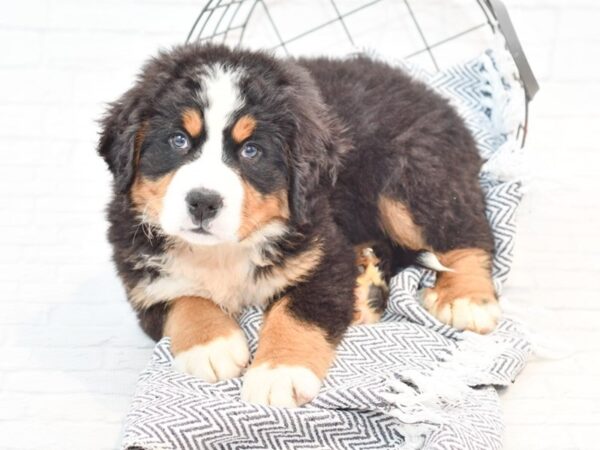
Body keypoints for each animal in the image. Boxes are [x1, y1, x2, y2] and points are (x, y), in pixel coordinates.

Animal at [99, 44, 502, 408]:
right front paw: (212, 345)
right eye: (178, 140)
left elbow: (296, 313)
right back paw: (366, 289)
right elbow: (184, 299)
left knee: (464, 231)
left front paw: (279, 373)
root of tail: (428, 92)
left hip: (410, 177)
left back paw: (466, 298)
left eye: (251, 151)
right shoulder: (141, 276)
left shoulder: (322, 253)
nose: (203, 202)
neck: (225, 251)